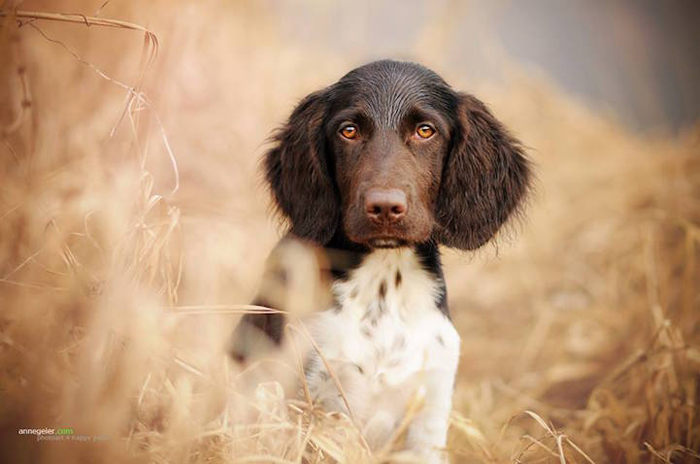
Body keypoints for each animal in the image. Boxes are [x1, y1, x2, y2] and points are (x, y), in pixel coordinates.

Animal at [230, 59, 532, 462]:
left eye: (425, 130)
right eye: (349, 131)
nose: (385, 208)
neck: (386, 286)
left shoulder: (429, 417)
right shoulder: (312, 400)